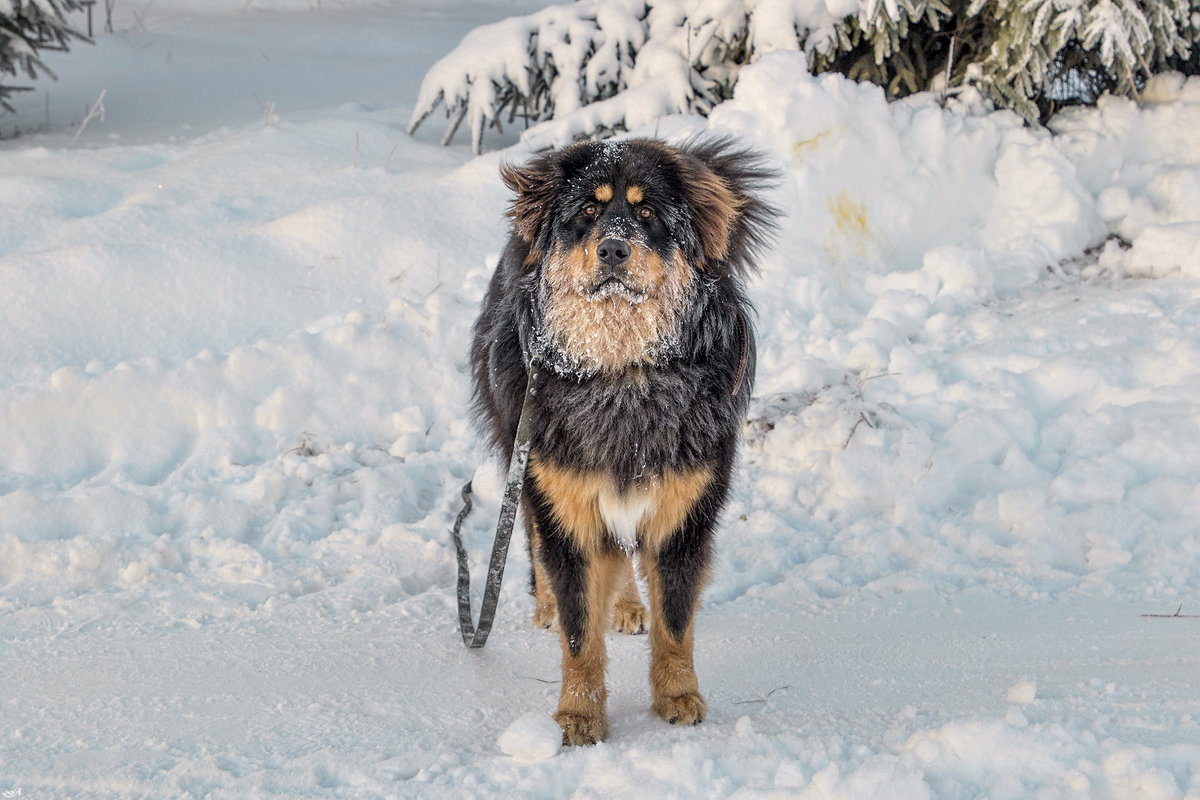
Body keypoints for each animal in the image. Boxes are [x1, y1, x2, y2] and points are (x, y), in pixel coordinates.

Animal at [468, 136, 777, 743]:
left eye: (648, 214)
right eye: (587, 212)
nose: (613, 248)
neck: (624, 371)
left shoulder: (683, 510)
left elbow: (675, 622)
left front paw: (678, 697)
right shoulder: (564, 499)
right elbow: (579, 631)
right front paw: (579, 714)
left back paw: (629, 605)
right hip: (530, 459)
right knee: (537, 539)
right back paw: (550, 604)